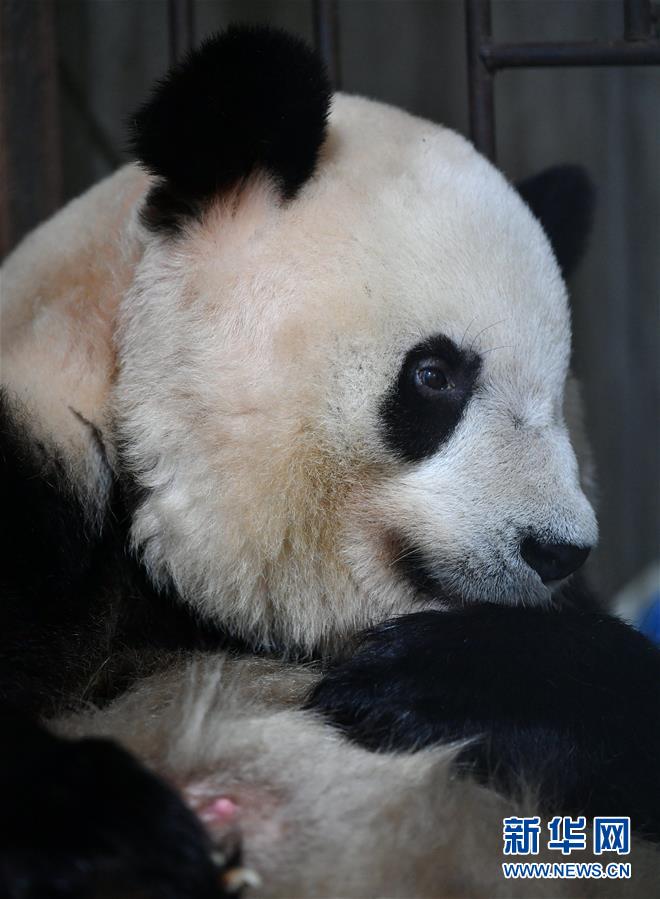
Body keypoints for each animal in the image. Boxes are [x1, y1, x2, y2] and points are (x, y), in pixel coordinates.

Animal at [1, 23, 659, 898]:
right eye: (434, 375)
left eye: (557, 394)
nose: (557, 549)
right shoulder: (41, 479)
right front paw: (118, 828)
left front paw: (432, 681)